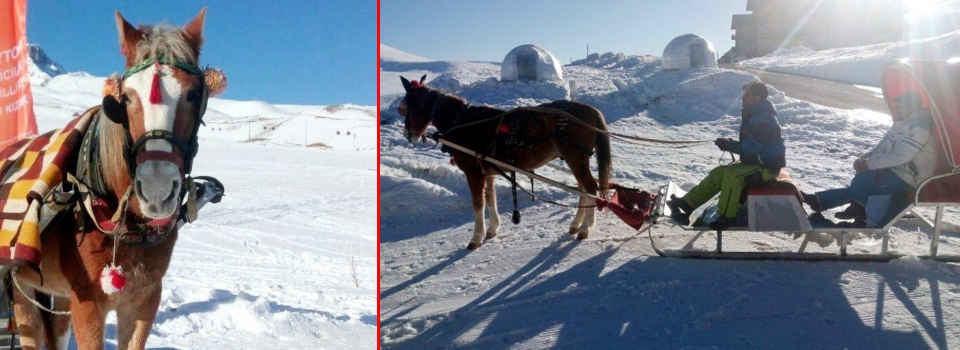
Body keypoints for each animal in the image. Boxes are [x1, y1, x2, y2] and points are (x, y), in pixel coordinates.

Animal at [10, 8, 223, 350]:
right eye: (126, 98)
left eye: (193, 94)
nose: (157, 189)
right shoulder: (87, 303)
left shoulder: (144, 299)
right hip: (22, 285)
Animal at [400, 74, 612, 249]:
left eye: (405, 108)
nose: (408, 135)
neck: (461, 122)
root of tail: (592, 111)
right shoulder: (486, 172)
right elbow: (490, 198)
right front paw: (492, 229)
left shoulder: (473, 173)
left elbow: (478, 204)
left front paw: (476, 237)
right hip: (575, 160)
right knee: (583, 189)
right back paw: (576, 224)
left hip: (576, 158)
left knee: (590, 188)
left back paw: (585, 227)